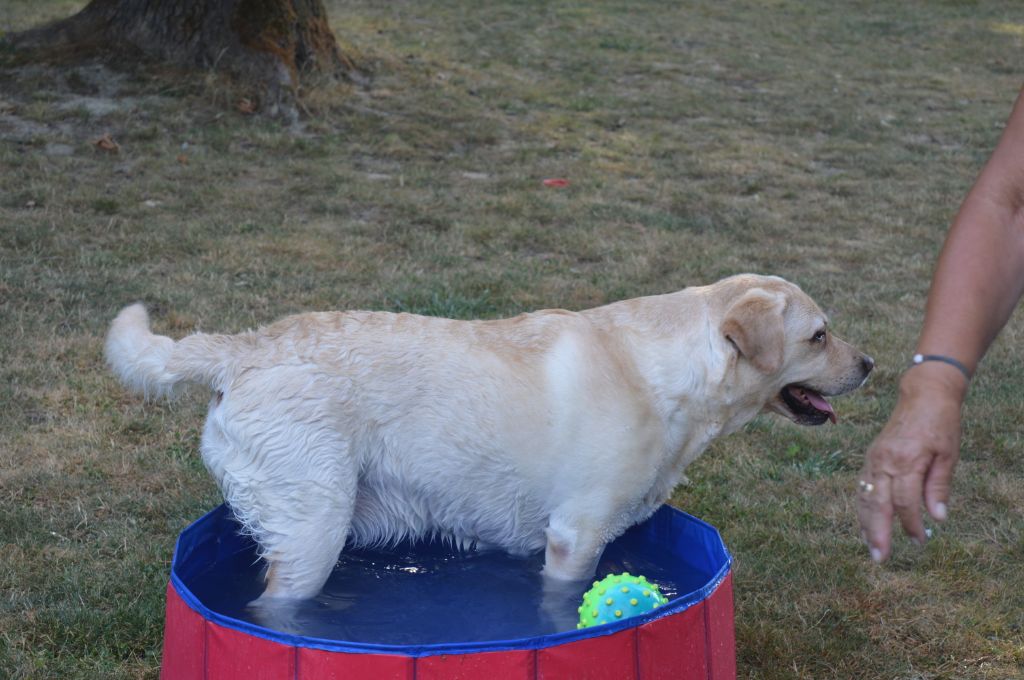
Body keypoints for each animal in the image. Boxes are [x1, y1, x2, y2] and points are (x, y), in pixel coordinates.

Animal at [105, 274, 872, 602]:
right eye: (820, 335)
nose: (869, 364)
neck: (667, 372)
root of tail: (243, 348)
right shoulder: (575, 536)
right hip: (311, 529)